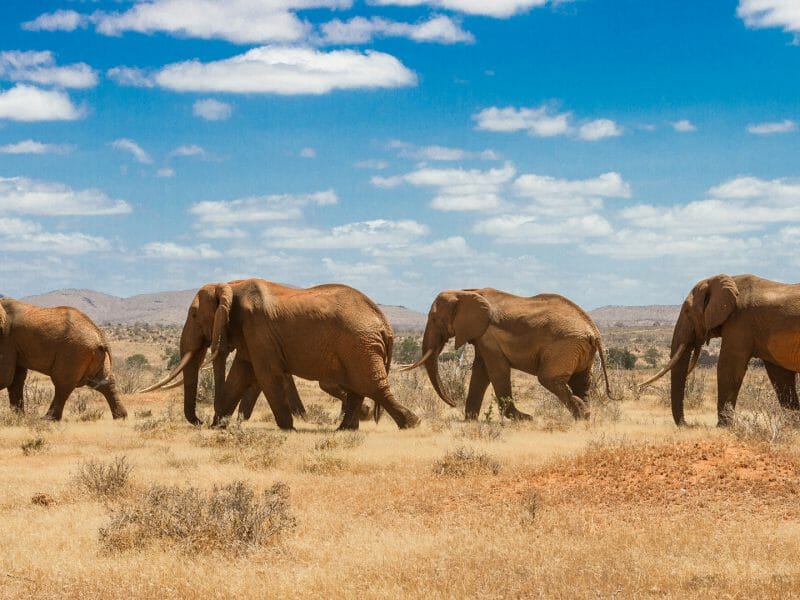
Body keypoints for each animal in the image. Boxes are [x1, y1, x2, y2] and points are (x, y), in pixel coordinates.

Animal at [142, 278, 417, 430]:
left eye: (194, 315)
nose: (200, 421)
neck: (231, 286)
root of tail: (385, 322)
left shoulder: (258, 327)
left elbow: (266, 374)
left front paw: (288, 428)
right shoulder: (249, 333)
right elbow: (241, 374)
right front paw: (218, 426)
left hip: (359, 344)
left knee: (371, 385)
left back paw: (412, 423)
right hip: (357, 346)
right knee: (359, 388)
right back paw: (344, 430)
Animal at [401, 288, 613, 420]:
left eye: (434, 319)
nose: (453, 403)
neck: (465, 292)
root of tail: (593, 331)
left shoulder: (488, 335)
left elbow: (496, 371)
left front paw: (524, 419)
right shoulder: (482, 336)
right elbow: (480, 372)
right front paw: (470, 420)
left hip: (564, 346)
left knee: (549, 379)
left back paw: (581, 415)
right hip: (579, 348)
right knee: (581, 381)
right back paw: (585, 417)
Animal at [640, 274, 800, 426]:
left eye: (687, 311)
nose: (686, 424)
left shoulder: (740, 321)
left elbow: (728, 367)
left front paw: (722, 426)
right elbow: (780, 375)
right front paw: (793, 425)